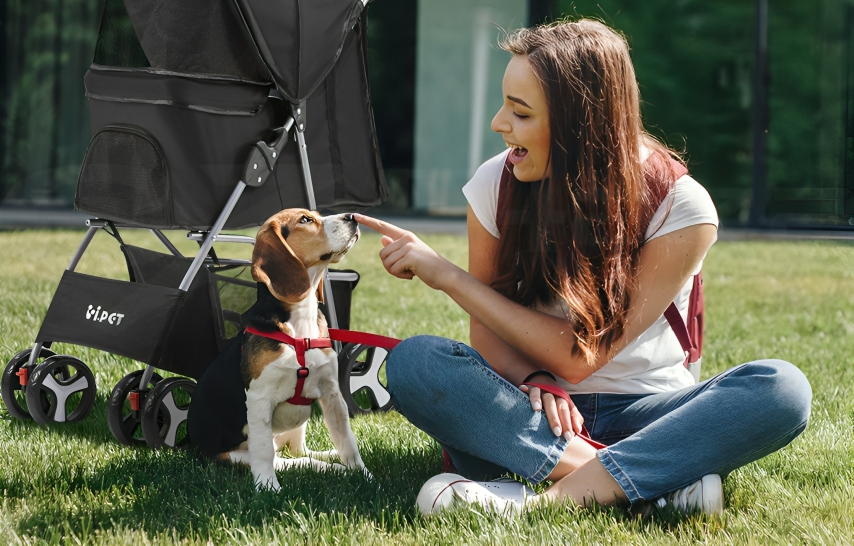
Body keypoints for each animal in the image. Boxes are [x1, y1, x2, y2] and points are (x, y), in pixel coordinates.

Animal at [189, 207, 366, 488]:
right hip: (235, 454)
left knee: (298, 450)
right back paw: (326, 467)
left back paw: (330, 459)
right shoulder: (259, 398)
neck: (300, 324)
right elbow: (263, 451)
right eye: (305, 220)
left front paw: (363, 474)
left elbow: (347, 441)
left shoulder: (332, 393)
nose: (353, 217)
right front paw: (267, 488)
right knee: (286, 459)